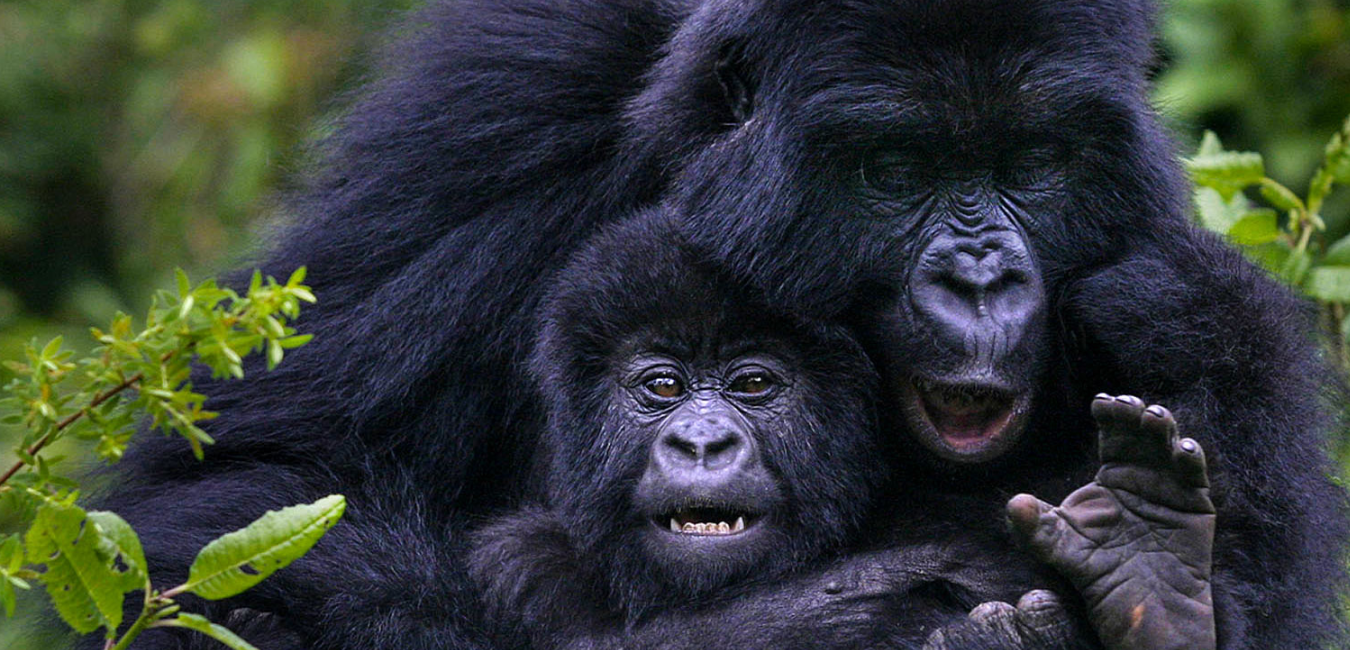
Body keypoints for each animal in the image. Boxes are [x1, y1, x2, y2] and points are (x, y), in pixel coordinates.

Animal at [92, 1, 1339, 648]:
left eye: (1031, 161)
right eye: (897, 171)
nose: (983, 281)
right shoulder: (512, 98)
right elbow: (240, 496)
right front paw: (820, 614)